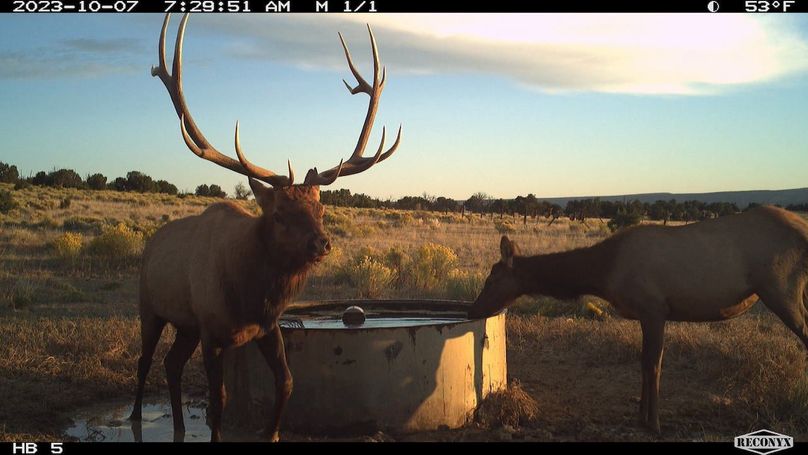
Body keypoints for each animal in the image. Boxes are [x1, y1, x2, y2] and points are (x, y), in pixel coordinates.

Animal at [130, 13, 402, 442]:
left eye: (321, 209)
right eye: (279, 214)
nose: (321, 243)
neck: (249, 294)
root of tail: (151, 244)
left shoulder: (265, 327)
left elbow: (287, 382)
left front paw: (272, 432)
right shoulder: (212, 331)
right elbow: (219, 400)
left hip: (185, 324)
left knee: (171, 364)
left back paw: (177, 426)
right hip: (150, 306)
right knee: (144, 361)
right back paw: (136, 416)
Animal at [468, 205, 808, 434]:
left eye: (491, 278)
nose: (472, 310)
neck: (603, 273)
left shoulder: (653, 309)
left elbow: (653, 364)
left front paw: (653, 423)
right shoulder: (648, 314)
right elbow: (643, 363)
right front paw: (640, 415)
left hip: (780, 289)